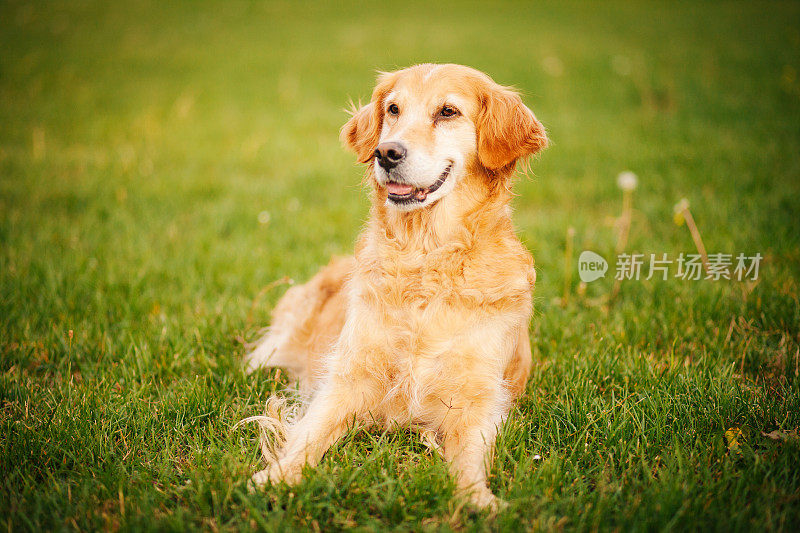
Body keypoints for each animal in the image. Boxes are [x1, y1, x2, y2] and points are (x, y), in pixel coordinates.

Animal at [247, 62, 548, 508]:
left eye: (447, 112)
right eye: (393, 110)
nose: (386, 152)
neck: (425, 258)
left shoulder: (478, 396)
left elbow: (470, 457)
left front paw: (477, 498)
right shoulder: (349, 378)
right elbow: (310, 433)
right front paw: (278, 476)